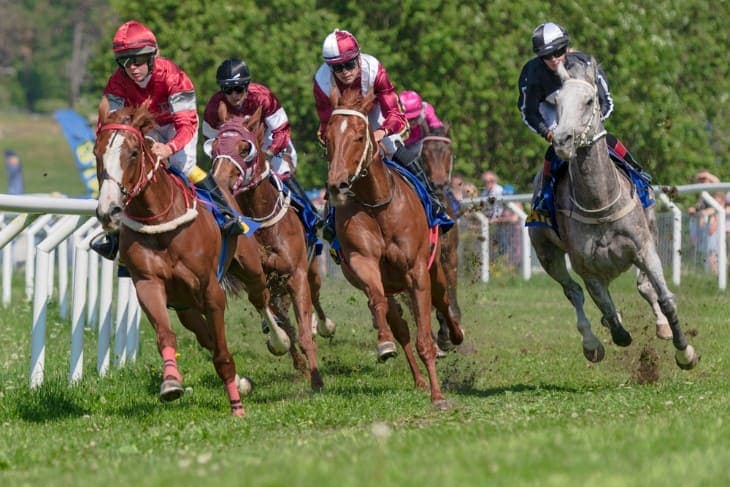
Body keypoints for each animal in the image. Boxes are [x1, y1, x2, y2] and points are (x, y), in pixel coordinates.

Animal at [94, 105, 270, 417]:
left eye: (134, 153)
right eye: (96, 153)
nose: (109, 210)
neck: (160, 221)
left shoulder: (211, 291)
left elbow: (222, 354)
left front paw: (237, 407)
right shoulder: (148, 284)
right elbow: (166, 335)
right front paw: (171, 383)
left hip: (249, 268)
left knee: (261, 297)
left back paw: (282, 340)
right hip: (185, 305)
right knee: (204, 335)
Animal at [210, 109, 326, 391]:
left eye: (245, 148)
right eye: (214, 147)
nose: (219, 180)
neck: (261, 220)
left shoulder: (296, 275)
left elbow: (304, 331)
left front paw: (317, 381)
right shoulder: (261, 279)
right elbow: (285, 328)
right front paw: (296, 360)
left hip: (312, 271)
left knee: (316, 297)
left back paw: (325, 326)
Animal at [325, 88, 464, 407]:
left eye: (359, 137)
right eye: (327, 138)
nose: (337, 184)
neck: (378, 204)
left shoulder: (418, 270)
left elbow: (427, 332)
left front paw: (439, 396)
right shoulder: (363, 262)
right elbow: (381, 305)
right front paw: (384, 343)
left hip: (436, 271)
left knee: (443, 301)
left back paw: (454, 336)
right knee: (400, 325)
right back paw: (417, 377)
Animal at [528, 58, 699, 370]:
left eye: (589, 100)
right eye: (556, 102)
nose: (562, 140)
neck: (601, 205)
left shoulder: (644, 249)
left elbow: (665, 298)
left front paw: (685, 352)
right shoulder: (586, 267)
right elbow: (606, 311)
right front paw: (611, 331)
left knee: (644, 287)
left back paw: (662, 327)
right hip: (546, 253)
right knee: (574, 292)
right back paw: (592, 342)